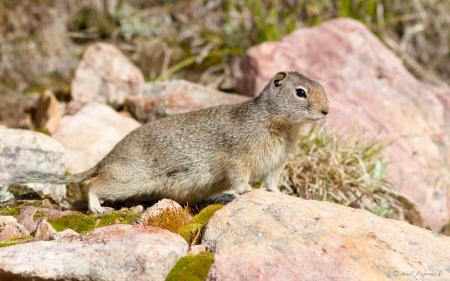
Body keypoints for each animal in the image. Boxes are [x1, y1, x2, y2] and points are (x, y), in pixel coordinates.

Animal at [8, 71, 328, 211]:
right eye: (300, 92)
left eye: (322, 87)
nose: (327, 111)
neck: (279, 125)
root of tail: (108, 157)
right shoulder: (238, 159)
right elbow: (240, 180)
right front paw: (247, 192)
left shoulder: (276, 165)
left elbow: (272, 184)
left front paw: (282, 195)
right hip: (126, 180)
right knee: (92, 184)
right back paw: (97, 207)